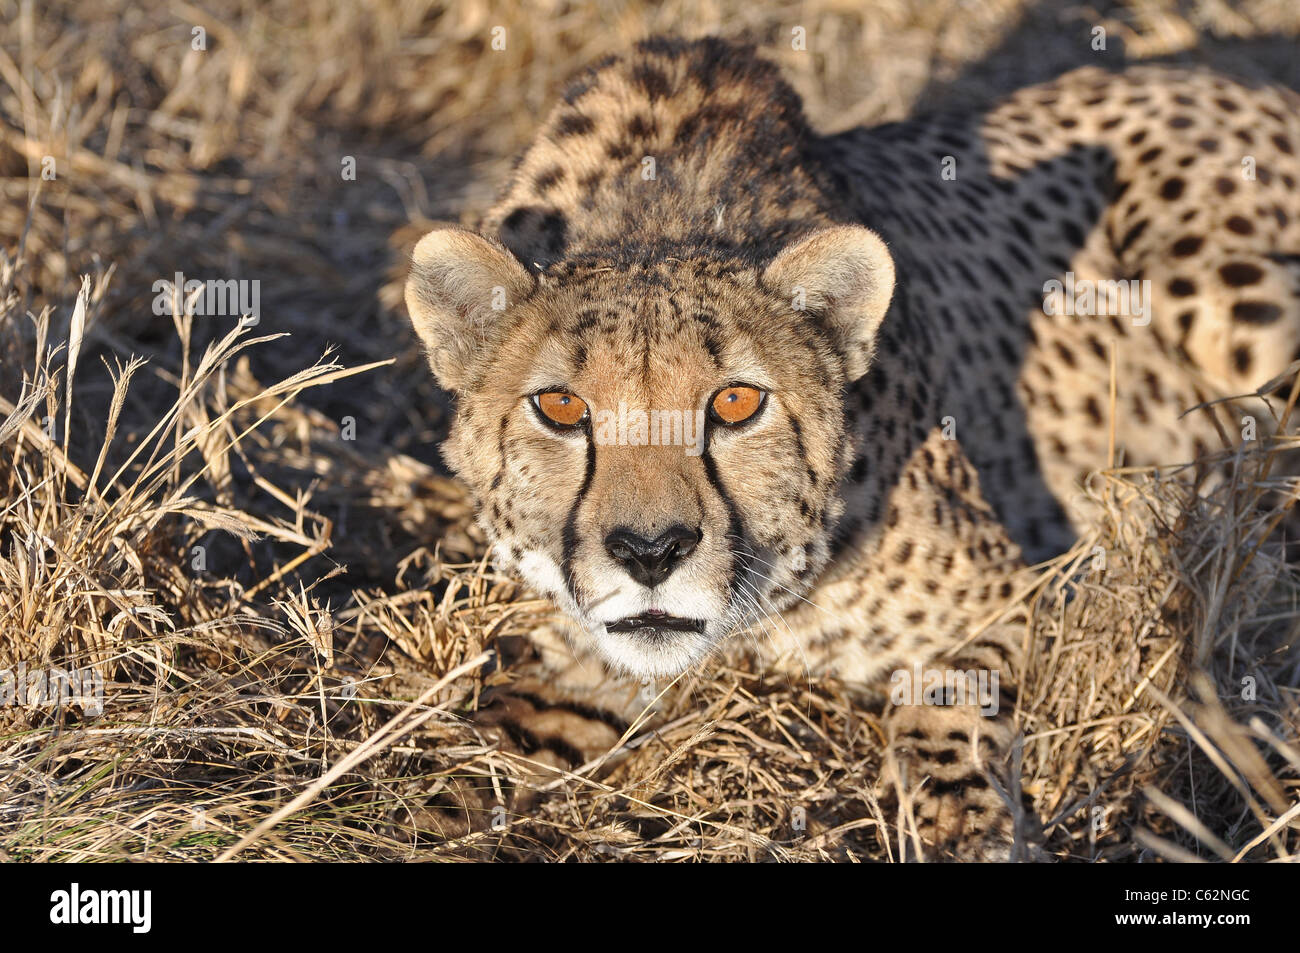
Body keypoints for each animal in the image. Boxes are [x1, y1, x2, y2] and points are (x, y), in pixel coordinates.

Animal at [403, 37, 1300, 858]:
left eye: (736, 402)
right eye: (560, 405)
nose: (650, 551)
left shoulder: (1014, 593)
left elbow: (934, 705)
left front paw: (961, 827)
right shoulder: (583, 658)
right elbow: (469, 751)